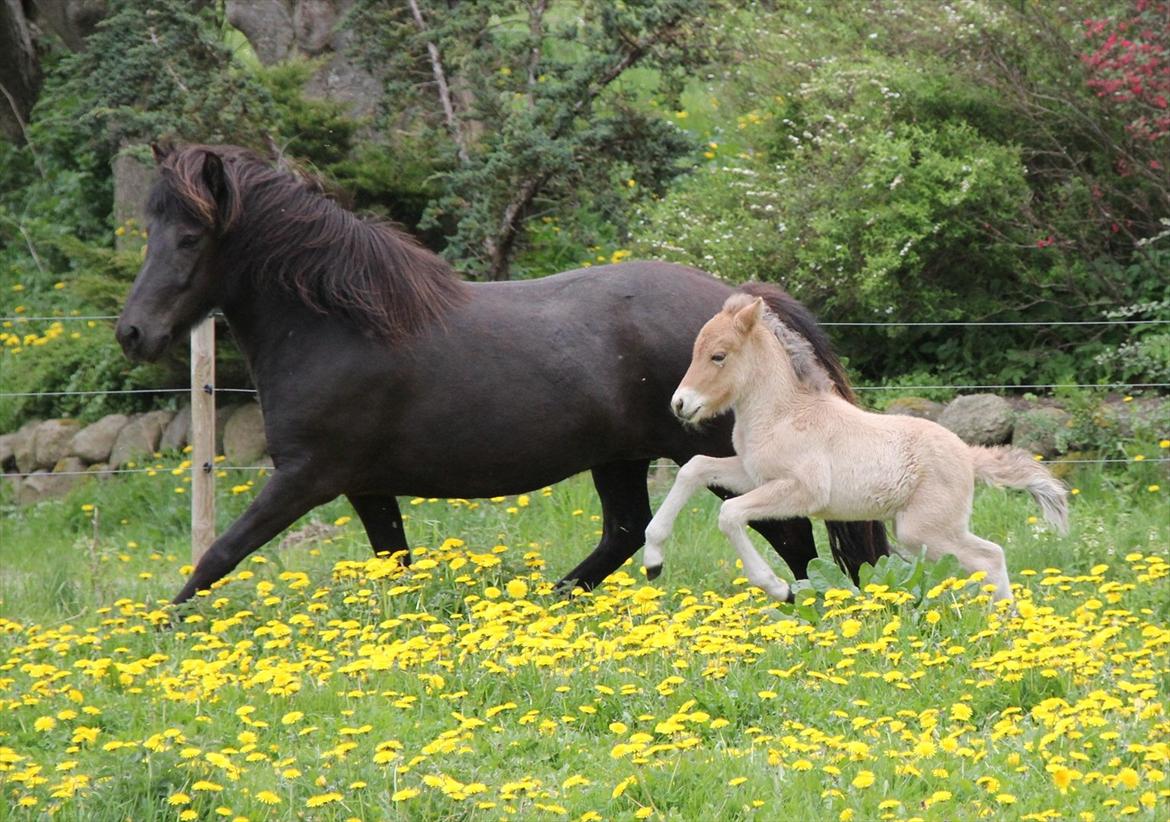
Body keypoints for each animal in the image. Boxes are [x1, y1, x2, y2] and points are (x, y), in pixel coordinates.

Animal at [118, 144, 884, 603]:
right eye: (149, 231)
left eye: (190, 236)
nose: (133, 333)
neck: (339, 326)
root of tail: (745, 304)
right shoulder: (365, 485)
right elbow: (394, 561)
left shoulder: (307, 476)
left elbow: (218, 555)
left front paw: (164, 628)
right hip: (621, 457)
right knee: (625, 531)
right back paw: (555, 601)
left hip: (714, 452)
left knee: (789, 532)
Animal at [645, 292, 1071, 603]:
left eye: (718, 355)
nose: (680, 404)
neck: (784, 413)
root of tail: (968, 455)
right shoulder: (753, 475)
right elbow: (694, 468)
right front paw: (652, 559)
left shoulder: (803, 491)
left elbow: (730, 514)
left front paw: (777, 587)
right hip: (924, 531)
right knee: (988, 559)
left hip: (925, 532)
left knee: (991, 556)